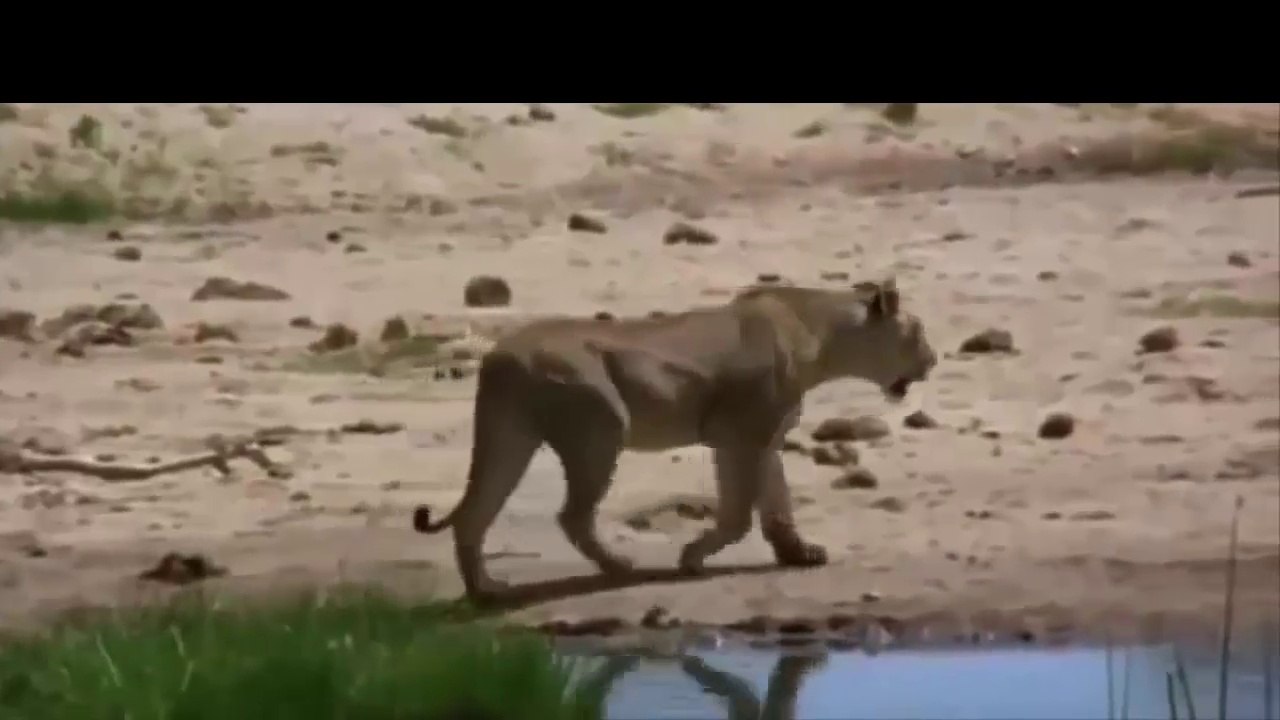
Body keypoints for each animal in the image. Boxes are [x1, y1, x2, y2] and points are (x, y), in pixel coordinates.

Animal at [413, 277, 938, 603]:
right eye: (917, 331)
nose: (933, 360)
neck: (821, 334)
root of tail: (496, 355)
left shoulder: (756, 438)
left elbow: (777, 504)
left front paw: (799, 555)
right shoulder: (745, 433)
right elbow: (738, 515)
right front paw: (692, 558)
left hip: (510, 438)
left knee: (474, 514)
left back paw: (486, 590)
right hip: (600, 428)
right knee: (572, 516)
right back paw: (620, 566)